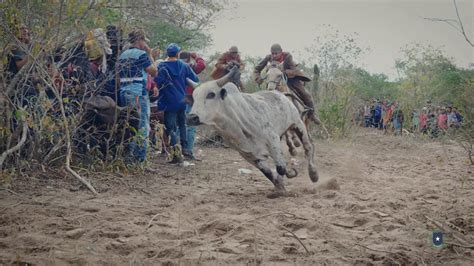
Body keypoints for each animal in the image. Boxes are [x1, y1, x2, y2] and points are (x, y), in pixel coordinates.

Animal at [185, 67, 318, 194]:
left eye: (211, 94)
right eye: (194, 97)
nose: (191, 118)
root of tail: (282, 94)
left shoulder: (272, 139)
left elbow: (281, 167)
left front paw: (289, 175)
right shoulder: (249, 154)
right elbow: (268, 173)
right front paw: (279, 187)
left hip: (297, 124)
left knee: (308, 148)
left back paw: (314, 174)